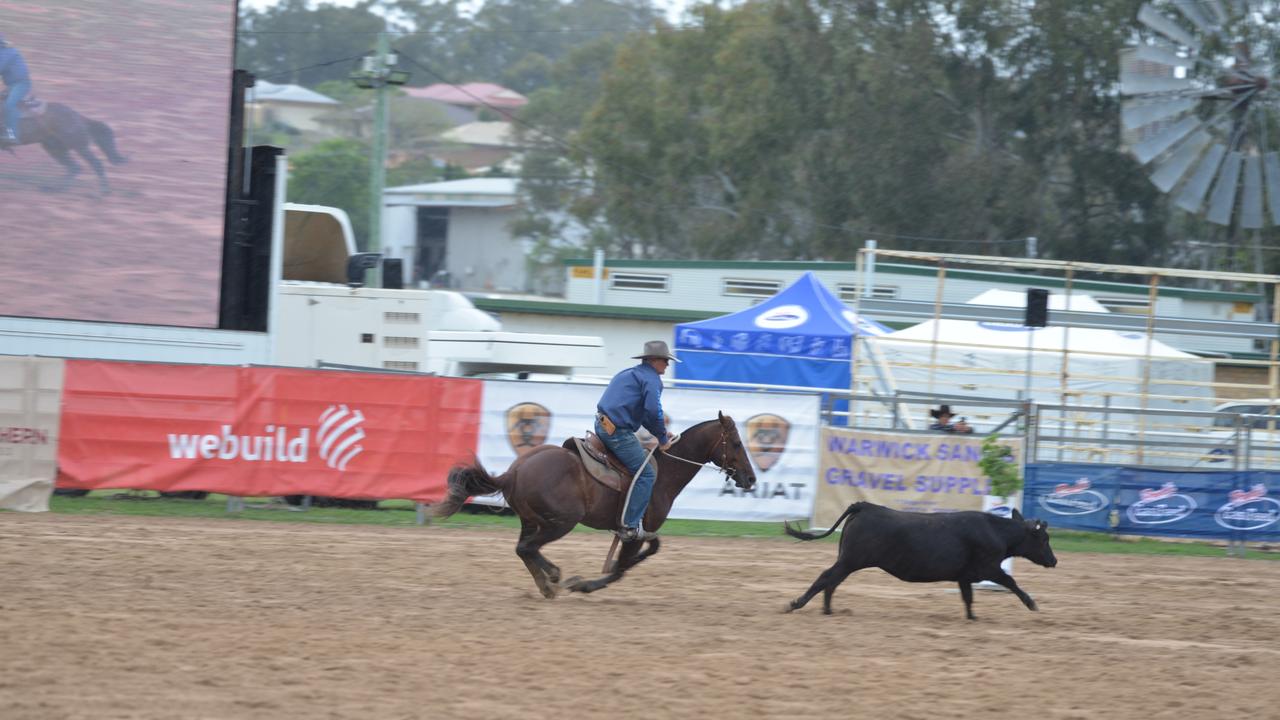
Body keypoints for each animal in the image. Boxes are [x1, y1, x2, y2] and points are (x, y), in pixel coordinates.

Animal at [437, 409, 752, 594]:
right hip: (562, 521)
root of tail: (513, 471)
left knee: (523, 549)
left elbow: (649, 550)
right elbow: (622, 569)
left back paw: (547, 583)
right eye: (737, 443)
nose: (750, 479)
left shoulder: (641, 531)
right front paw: (585, 584)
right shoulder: (632, 531)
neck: (665, 472)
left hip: (530, 520)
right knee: (528, 548)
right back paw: (555, 578)